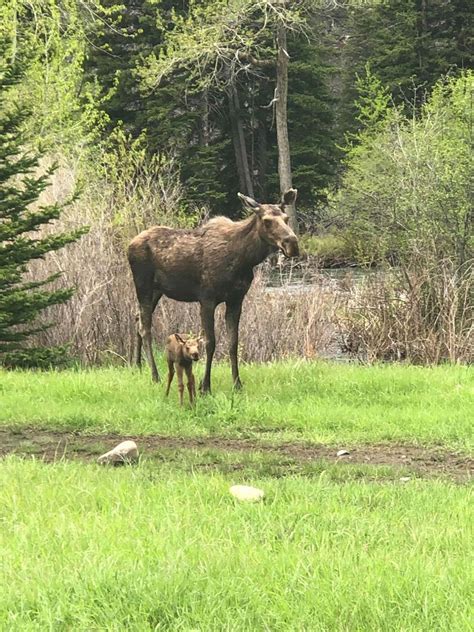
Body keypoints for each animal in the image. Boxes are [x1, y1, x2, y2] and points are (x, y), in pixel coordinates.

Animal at [129, 190, 300, 392]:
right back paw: (155, 375)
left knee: (137, 318)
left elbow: (233, 343)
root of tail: (130, 244)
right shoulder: (207, 299)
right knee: (145, 327)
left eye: (286, 218)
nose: (292, 243)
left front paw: (237, 383)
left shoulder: (236, 299)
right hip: (143, 285)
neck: (244, 259)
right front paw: (205, 386)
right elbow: (210, 342)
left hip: (157, 290)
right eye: (266, 221)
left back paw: (137, 365)